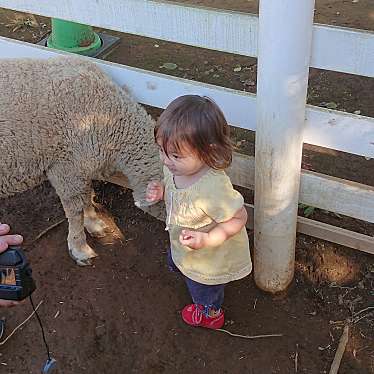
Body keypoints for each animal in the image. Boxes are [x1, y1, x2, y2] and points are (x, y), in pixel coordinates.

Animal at [0, 55, 164, 266]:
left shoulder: (81, 166)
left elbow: (87, 196)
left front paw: (94, 224)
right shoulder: (66, 168)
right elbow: (76, 209)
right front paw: (79, 247)